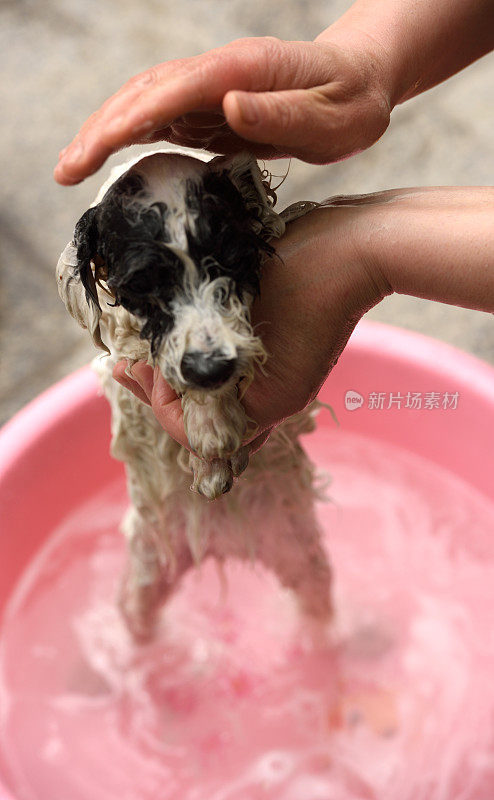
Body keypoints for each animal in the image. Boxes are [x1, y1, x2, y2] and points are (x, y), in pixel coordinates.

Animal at [56, 148, 330, 636]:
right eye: (141, 285)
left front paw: (215, 434)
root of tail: (218, 540)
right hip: (146, 570)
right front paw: (209, 433)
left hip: (299, 552)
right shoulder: (126, 345)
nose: (209, 367)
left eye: (231, 259)